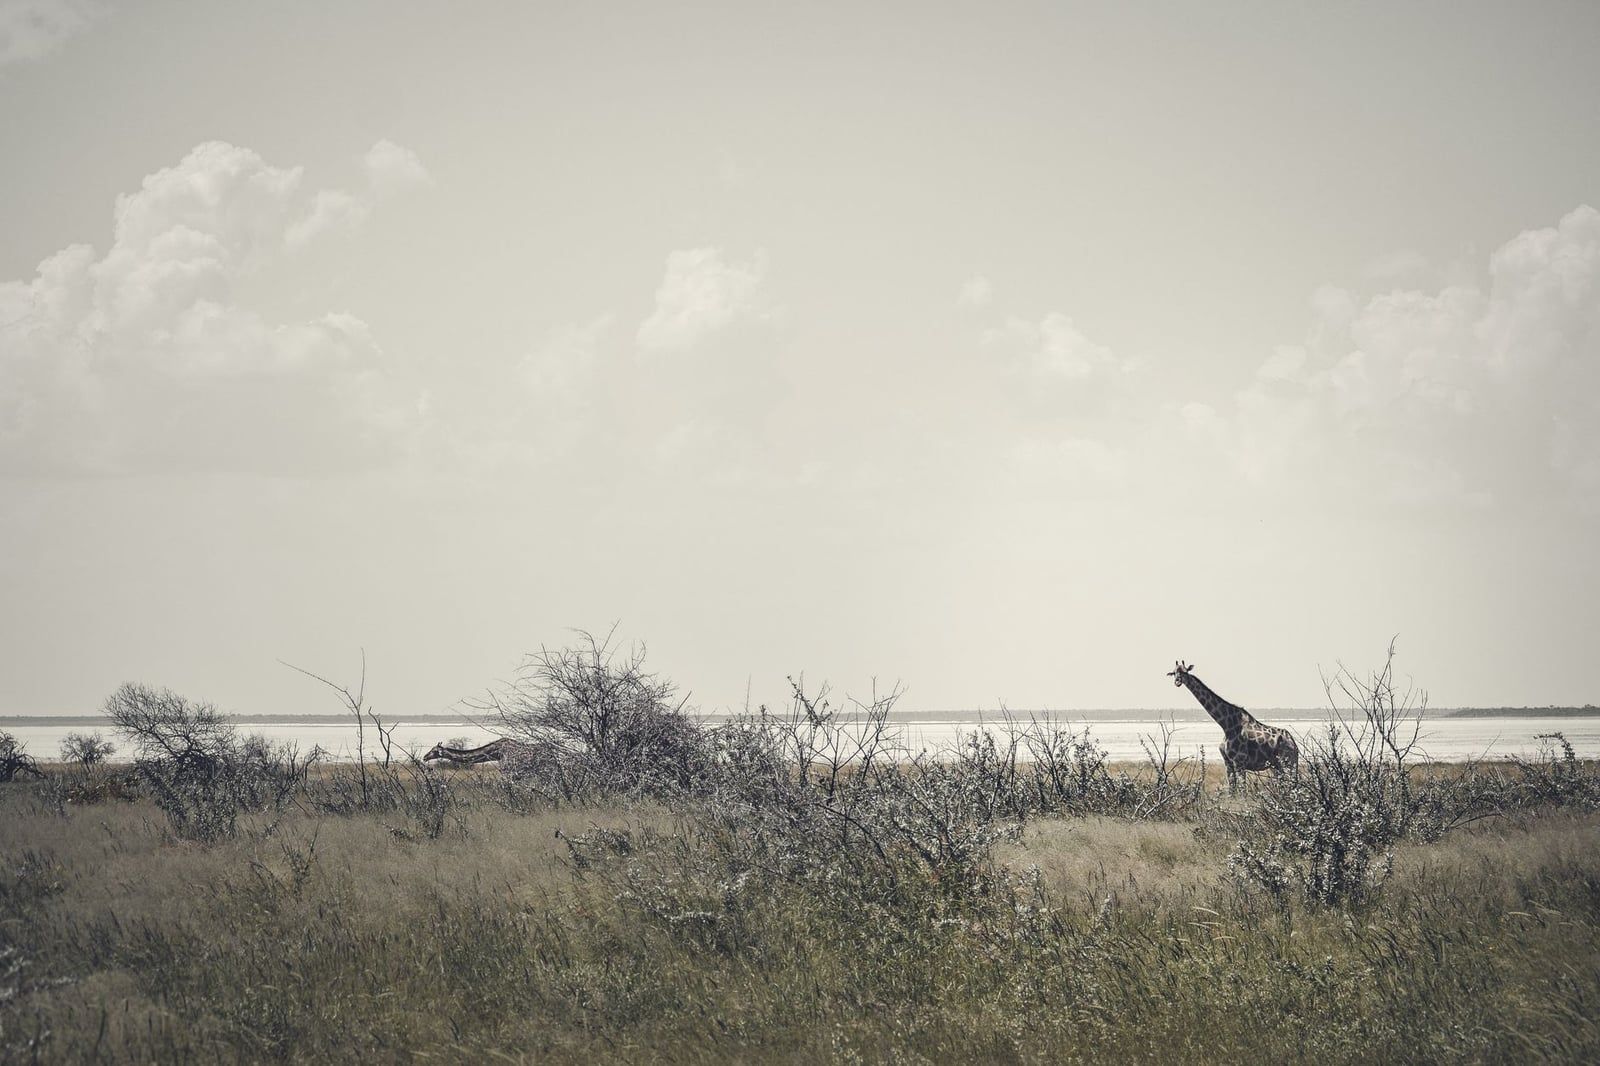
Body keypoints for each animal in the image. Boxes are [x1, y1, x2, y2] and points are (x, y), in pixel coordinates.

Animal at [1168, 661, 1298, 793]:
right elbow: (1232, 791)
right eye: (1174, 672)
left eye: (1185, 672)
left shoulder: (1239, 762)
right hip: (1276, 765)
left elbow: (1242, 790)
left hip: (1287, 762)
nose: (1177, 682)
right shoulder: (1228, 762)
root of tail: (1293, 743)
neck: (1226, 725)